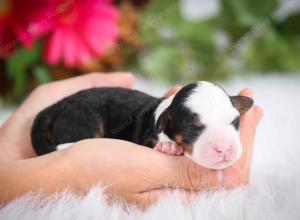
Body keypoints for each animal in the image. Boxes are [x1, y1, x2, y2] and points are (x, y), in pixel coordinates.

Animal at [31, 81, 253, 169]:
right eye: (193, 127)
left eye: (235, 122)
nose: (224, 149)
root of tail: (59, 104)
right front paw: (168, 146)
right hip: (80, 122)